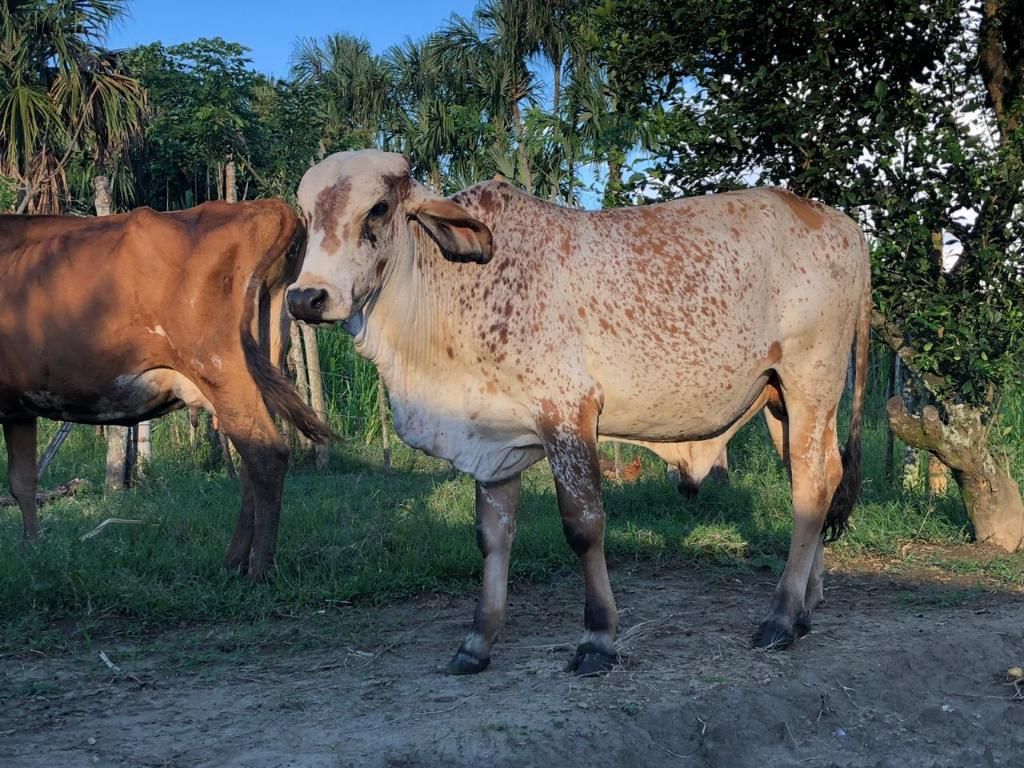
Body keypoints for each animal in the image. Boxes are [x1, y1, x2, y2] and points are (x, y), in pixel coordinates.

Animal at [0, 201, 327, 581]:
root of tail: (267, 207)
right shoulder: (18, 407)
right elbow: (23, 481)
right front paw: (31, 551)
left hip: (221, 368)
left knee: (267, 454)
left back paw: (259, 569)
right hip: (262, 360)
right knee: (253, 455)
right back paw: (234, 562)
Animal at [288, 150, 872, 679]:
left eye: (378, 208)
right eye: (305, 215)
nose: (306, 297)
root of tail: (845, 225)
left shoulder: (568, 413)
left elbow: (584, 526)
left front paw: (597, 638)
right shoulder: (493, 439)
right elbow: (492, 535)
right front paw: (477, 642)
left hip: (810, 383)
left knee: (811, 489)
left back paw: (781, 617)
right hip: (782, 404)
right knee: (820, 477)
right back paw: (806, 607)